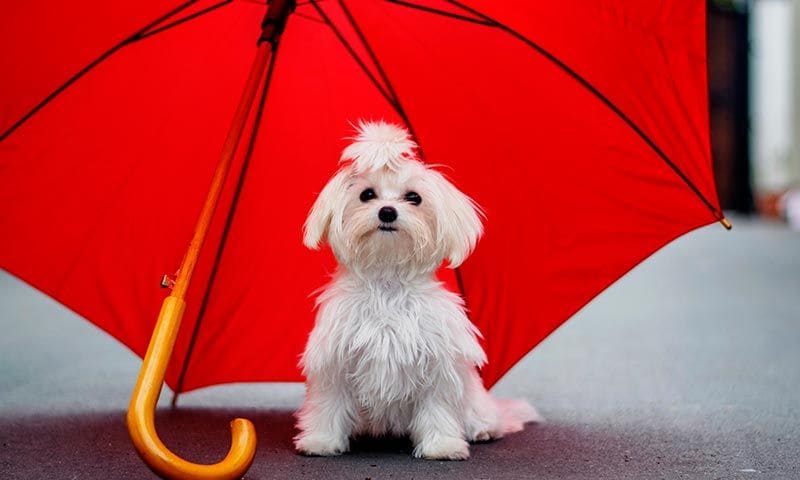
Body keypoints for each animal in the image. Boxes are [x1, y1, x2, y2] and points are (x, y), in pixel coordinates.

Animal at [294, 122, 536, 460]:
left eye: (413, 197)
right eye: (367, 194)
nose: (387, 212)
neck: (388, 283)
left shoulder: (438, 364)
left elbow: (437, 407)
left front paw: (442, 445)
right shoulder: (335, 362)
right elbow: (328, 404)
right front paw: (321, 441)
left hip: (475, 400)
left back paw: (484, 429)